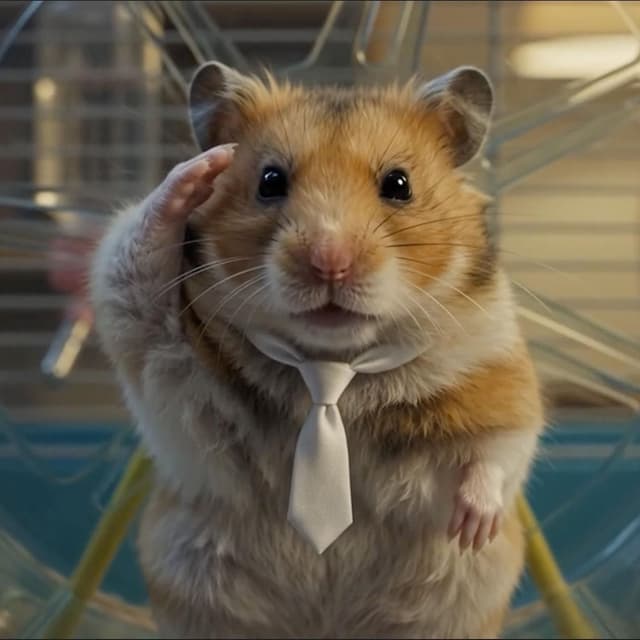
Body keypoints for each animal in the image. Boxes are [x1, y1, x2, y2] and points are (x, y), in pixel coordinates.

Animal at [90, 62, 544, 639]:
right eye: (270, 181)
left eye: (399, 184)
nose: (330, 262)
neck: (333, 365)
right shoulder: (171, 359)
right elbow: (135, 273)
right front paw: (196, 174)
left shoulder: (499, 368)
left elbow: (500, 447)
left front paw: (472, 528)